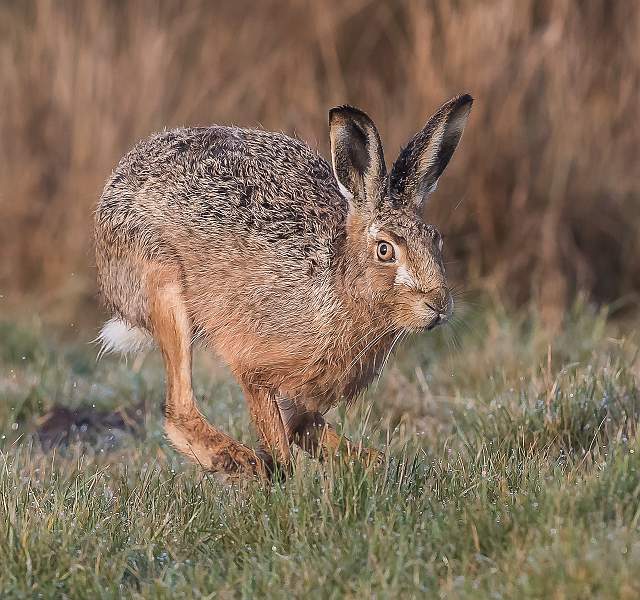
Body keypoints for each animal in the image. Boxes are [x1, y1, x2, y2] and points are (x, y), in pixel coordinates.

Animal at [94, 93, 473, 479]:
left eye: (435, 239)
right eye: (385, 250)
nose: (439, 304)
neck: (339, 283)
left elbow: (302, 427)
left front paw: (374, 463)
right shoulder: (253, 364)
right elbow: (278, 439)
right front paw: (278, 475)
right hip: (163, 284)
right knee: (178, 409)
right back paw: (240, 460)